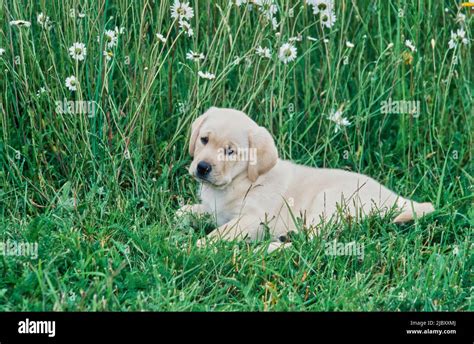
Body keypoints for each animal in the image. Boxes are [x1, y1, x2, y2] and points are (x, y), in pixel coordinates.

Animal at [179, 106, 436, 251]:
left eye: (230, 151)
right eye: (204, 140)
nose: (202, 167)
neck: (239, 181)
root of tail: (397, 199)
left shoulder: (253, 219)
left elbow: (222, 233)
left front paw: (198, 246)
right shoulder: (216, 210)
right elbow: (189, 212)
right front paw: (184, 216)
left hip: (328, 204)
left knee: (313, 243)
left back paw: (269, 248)